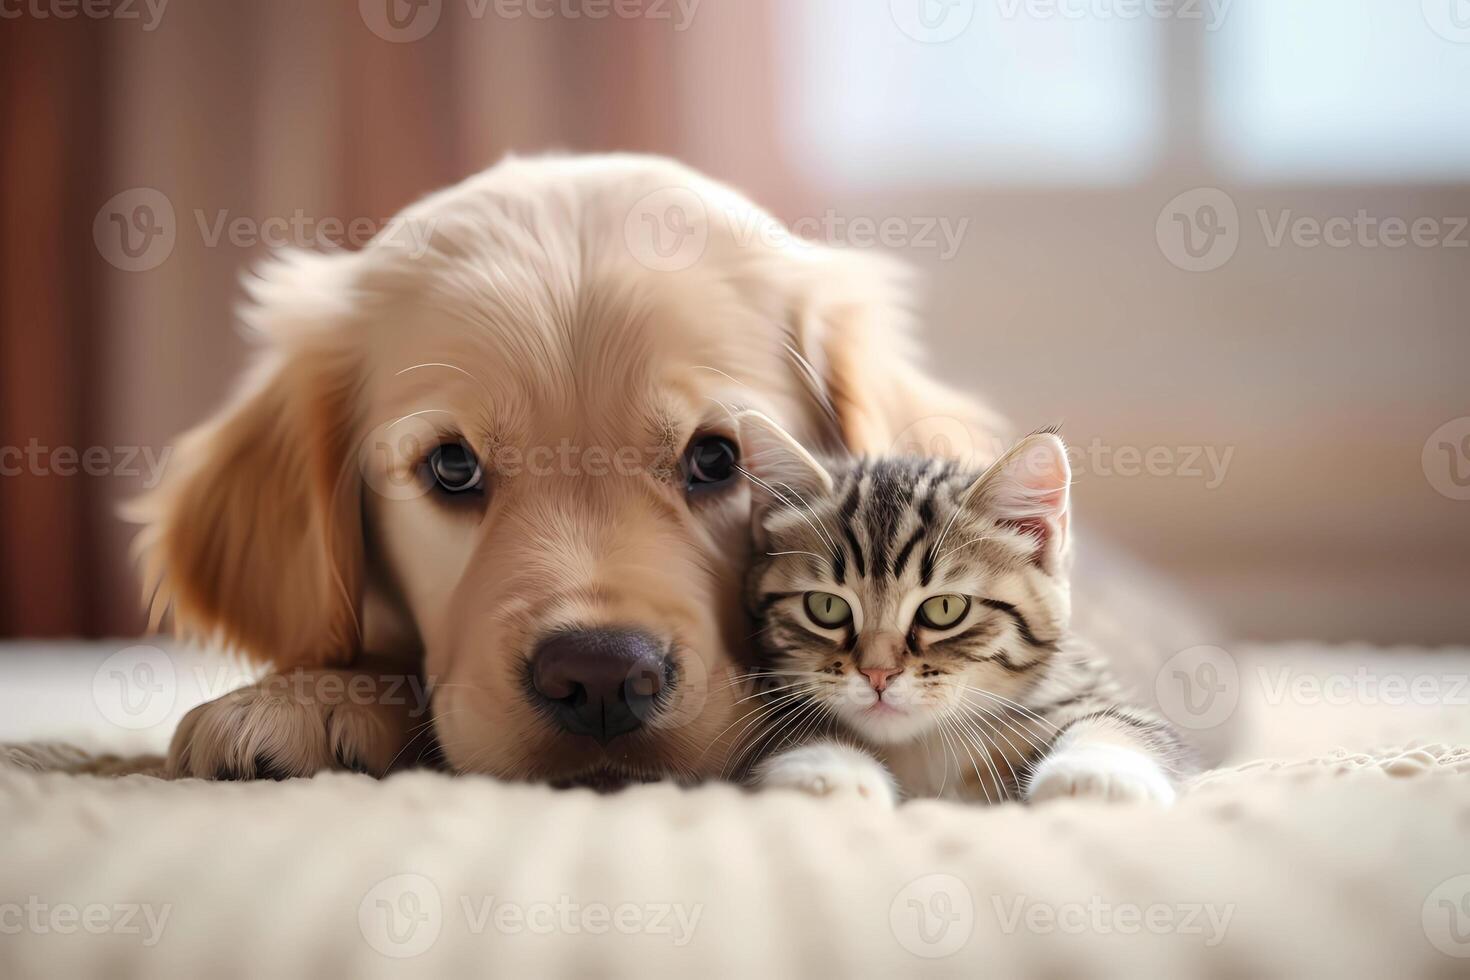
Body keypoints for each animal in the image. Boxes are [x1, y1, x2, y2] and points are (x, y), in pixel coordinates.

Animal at [735, 414, 1193, 805]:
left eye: (944, 609)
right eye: (826, 606)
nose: (878, 674)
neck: (924, 748)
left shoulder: (1082, 686)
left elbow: (1123, 723)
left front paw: (1097, 775)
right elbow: (793, 733)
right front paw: (825, 771)